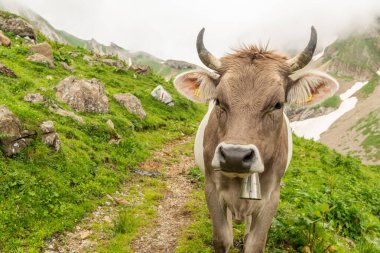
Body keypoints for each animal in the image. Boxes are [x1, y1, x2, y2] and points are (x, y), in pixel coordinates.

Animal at [174, 26, 336, 252]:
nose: (234, 156)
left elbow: (255, 243)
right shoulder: (211, 189)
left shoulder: (271, 198)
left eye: (278, 104)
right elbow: (222, 238)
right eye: (218, 100)